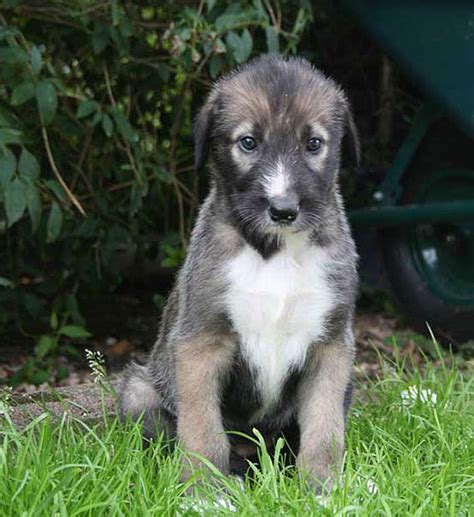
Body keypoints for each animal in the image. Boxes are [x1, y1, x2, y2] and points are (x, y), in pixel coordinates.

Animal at [121, 54, 360, 486]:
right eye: (248, 142)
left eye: (313, 144)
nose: (283, 210)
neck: (273, 251)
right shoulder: (201, 340)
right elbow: (201, 426)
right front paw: (202, 488)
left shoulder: (331, 345)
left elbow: (324, 426)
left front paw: (323, 486)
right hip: (139, 390)